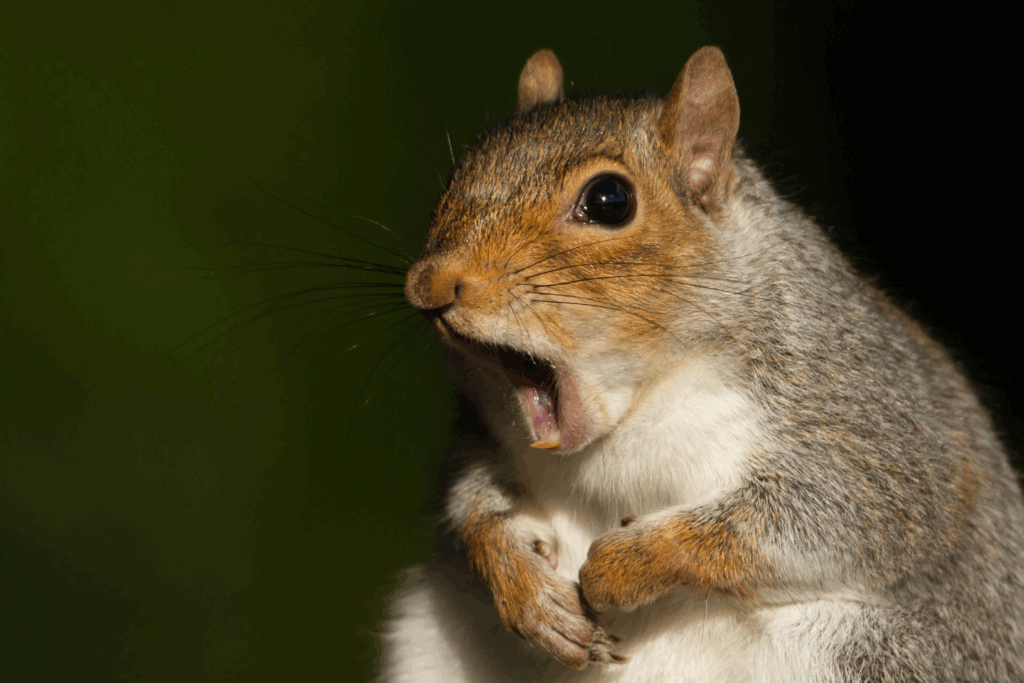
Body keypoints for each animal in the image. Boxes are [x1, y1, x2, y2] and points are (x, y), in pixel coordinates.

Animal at [376, 47, 1024, 682]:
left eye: (609, 200)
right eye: (460, 173)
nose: (428, 285)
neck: (638, 405)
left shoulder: (868, 422)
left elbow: (824, 518)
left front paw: (623, 565)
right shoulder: (483, 432)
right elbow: (475, 503)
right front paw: (526, 590)